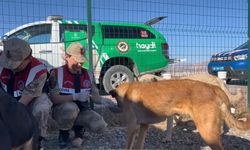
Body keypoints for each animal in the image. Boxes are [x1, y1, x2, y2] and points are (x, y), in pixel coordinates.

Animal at [110, 79, 250, 149]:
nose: (115, 107)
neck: (127, 90)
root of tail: (214, 88)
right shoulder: (144, 126)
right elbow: (139, 146)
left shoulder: (132, 127)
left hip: (208, 133)